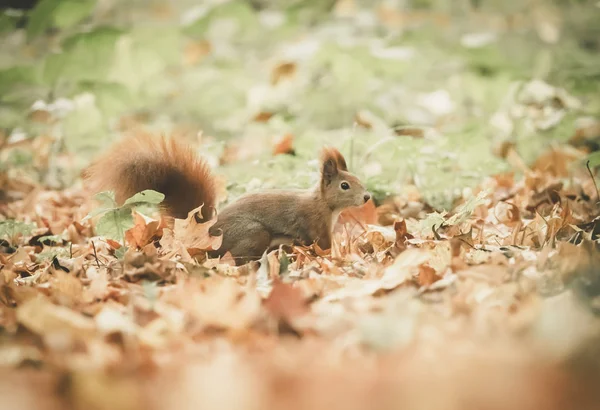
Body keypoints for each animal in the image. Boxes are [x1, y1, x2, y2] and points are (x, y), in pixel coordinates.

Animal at [84, 133, 370, 264]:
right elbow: (323, 246)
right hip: (253, 233)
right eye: (345, 185)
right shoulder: (315, 226)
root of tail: (207, 234)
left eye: (358, 178)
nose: (367, 197)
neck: (324, 205)